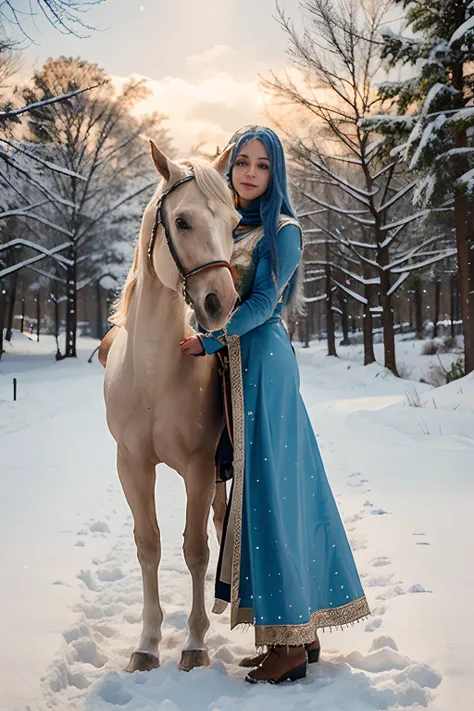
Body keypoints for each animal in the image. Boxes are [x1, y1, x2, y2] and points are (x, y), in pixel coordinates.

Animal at [102, 142, 239, 676]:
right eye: (181, 221)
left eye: (234, 221)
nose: (222, 302)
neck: (154, 374)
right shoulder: (132, 466)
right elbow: (150, 544)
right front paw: (147, 643)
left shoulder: (200, 468)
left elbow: (195, 549)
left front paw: (195, 644)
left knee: (219, 525)